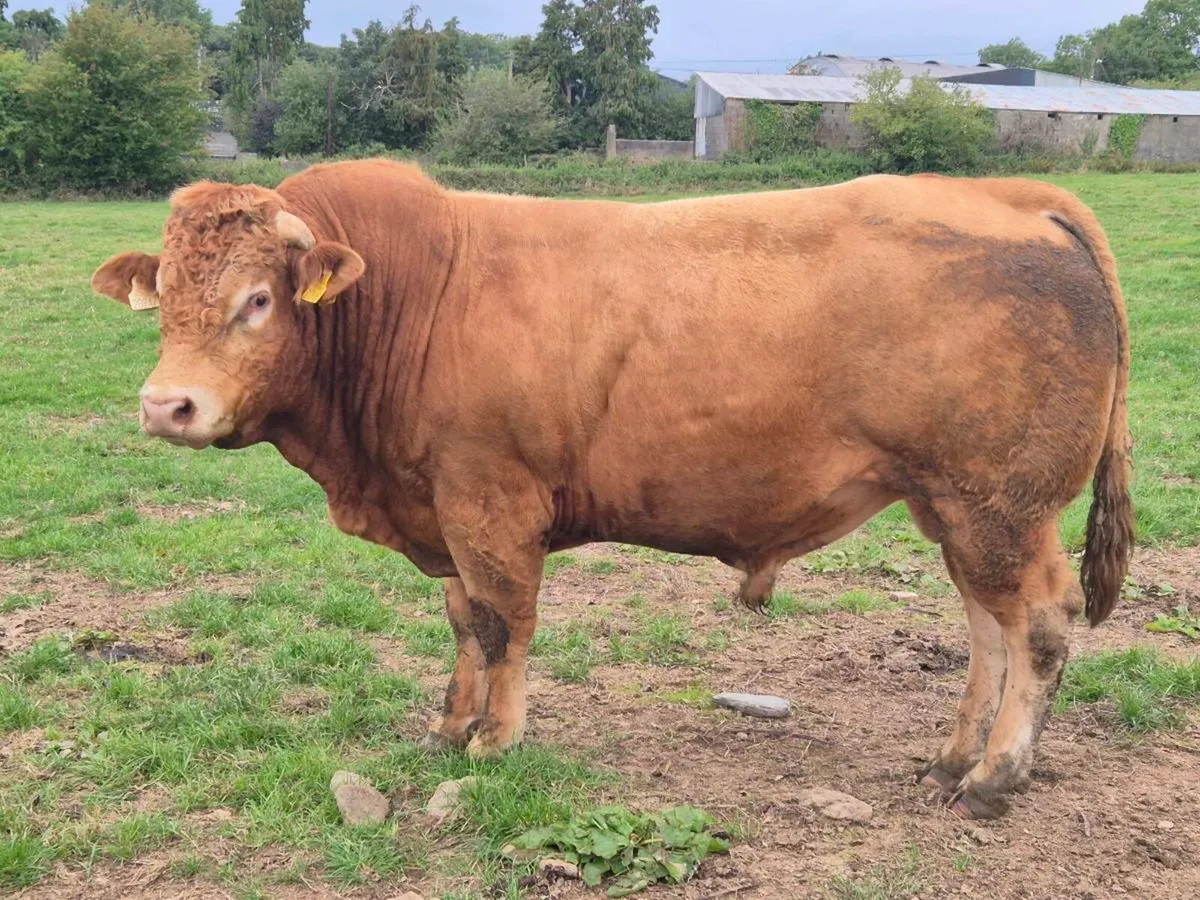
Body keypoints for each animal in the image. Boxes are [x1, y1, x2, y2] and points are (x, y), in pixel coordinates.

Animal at [90, 159, 1133, 819]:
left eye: (258, 299)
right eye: (164, 294)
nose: (167, 405)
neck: (415, 294)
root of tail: (1011, 197)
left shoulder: (492, 502)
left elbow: (504, 623)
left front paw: (497, 742)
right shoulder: (440, 508)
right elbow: (463, 623)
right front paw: (450, 726)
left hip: (1001, 506)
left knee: (1039, 624)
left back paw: (995, 777)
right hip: (957, 508)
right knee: (986, 626)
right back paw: (953, 759)